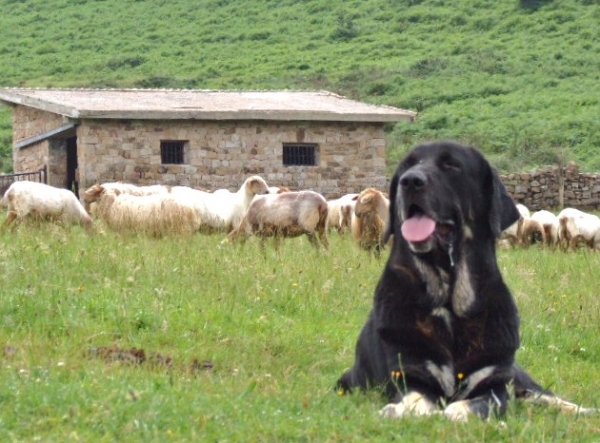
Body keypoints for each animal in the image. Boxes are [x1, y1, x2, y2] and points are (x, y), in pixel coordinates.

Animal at [336, 140, 592, 422]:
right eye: (406, 166)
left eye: (452, 165)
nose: (409, 181)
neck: (449, 300)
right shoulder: (407, 373)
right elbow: (416, 401)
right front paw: (400, 410)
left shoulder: (494, 384)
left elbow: (467, 406)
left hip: (518, 377)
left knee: (544, 395)